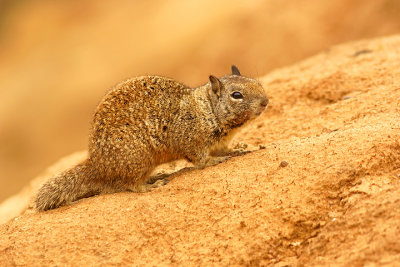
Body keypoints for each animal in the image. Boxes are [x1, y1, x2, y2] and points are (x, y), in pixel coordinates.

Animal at [35, 65, 268, 211]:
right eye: (236, 95)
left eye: (257, 83)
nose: (266, 101)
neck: (208, 109)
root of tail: (98, 166)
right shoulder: (191, 140)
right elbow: (201, 160)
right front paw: (215, 161)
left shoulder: (220, 142)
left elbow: (226, 149)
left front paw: (240, 147)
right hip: (139, 158)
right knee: (128, 186)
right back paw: (150, 185)